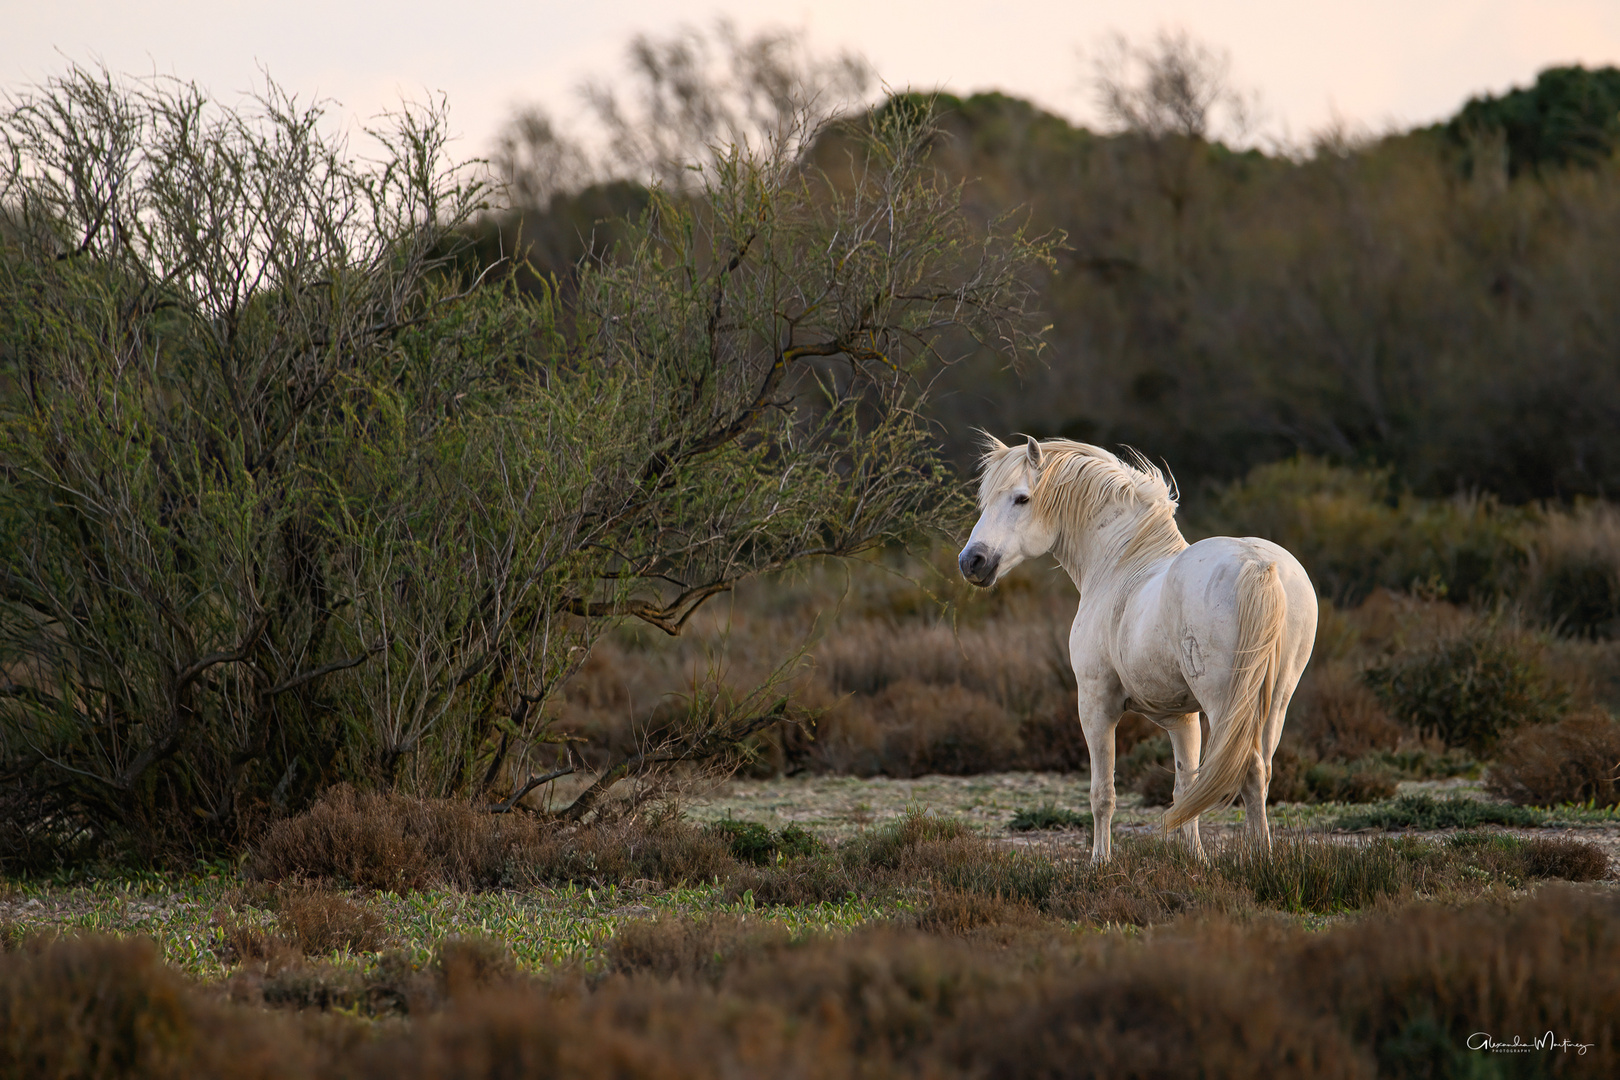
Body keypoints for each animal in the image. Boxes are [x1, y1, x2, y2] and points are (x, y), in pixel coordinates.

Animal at [952, 433, 1308, 867]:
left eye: (1022, 498)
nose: (972, 561)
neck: (1121, 564)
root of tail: (1257, 564)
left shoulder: (1095, 705)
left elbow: (1102, 794)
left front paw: (1099, 863)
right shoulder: (1182, 718)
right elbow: (1186, 788)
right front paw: (1196, 860)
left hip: (1226, 702)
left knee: (1250, 770)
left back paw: (1261, 862)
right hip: (1276, 701)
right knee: (1261, 772)